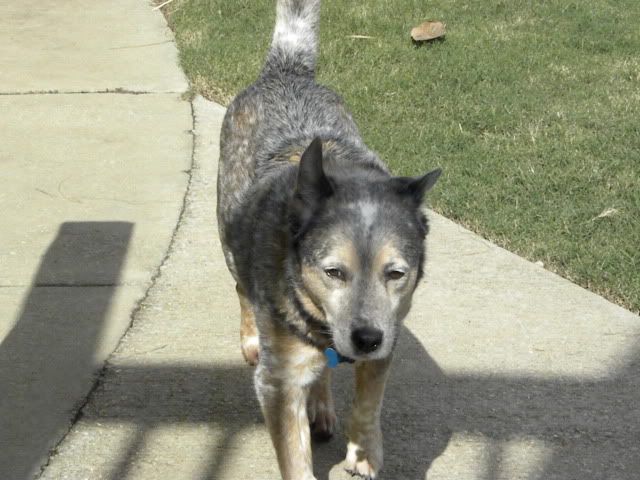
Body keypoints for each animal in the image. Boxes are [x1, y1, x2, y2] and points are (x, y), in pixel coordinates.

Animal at [215, 1, 440, 478]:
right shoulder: (278, 382)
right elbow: (293, 452)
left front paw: (365, 451)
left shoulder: (387, 336)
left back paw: (321, 403)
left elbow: (369, 402)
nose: (367, 337)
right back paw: (253, 338)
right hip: (227, 233)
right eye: (333, 271)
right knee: (241, 285)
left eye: (396, 274)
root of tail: (287, 70)